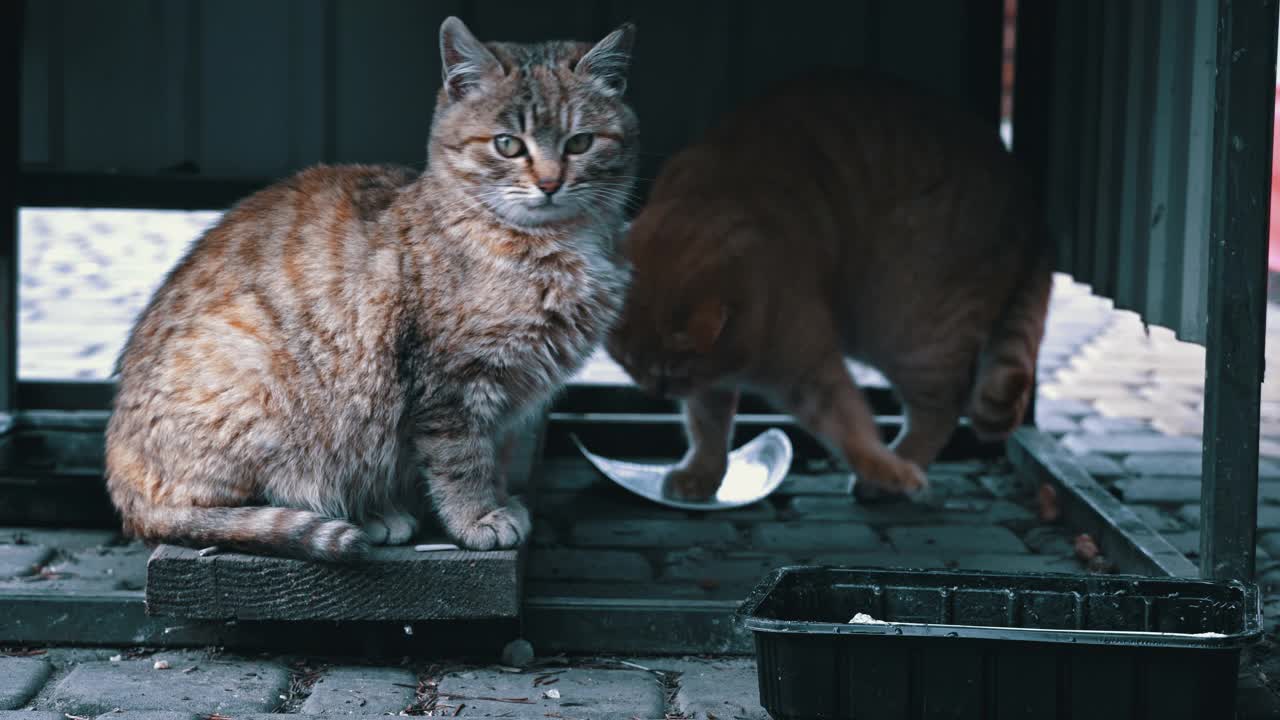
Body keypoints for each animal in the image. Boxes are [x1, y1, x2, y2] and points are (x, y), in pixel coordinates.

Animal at [609, 71, 1049, 499]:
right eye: (628, 363)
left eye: (673, 369)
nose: (656, 392)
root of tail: (1030, 199)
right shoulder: (710, 384)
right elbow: (708, 430)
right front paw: (702, 475)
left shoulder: (810, 371)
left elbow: (849, 426)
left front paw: (887, 470)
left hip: (908, 331)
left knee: (944, 406)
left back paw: (895, 472)